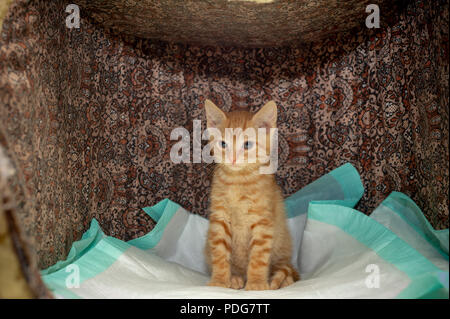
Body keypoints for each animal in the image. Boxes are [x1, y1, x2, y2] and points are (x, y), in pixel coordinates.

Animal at [204, 100, 298, 292]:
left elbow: (258, 256)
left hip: (282, 245)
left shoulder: (263, 222)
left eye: (247, 145)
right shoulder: (219, 218)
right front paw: (219, 281)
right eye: (223, 144)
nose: (232, 158)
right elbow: (219, 252)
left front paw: (256, 284)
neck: (238, 179)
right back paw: (235, 278)